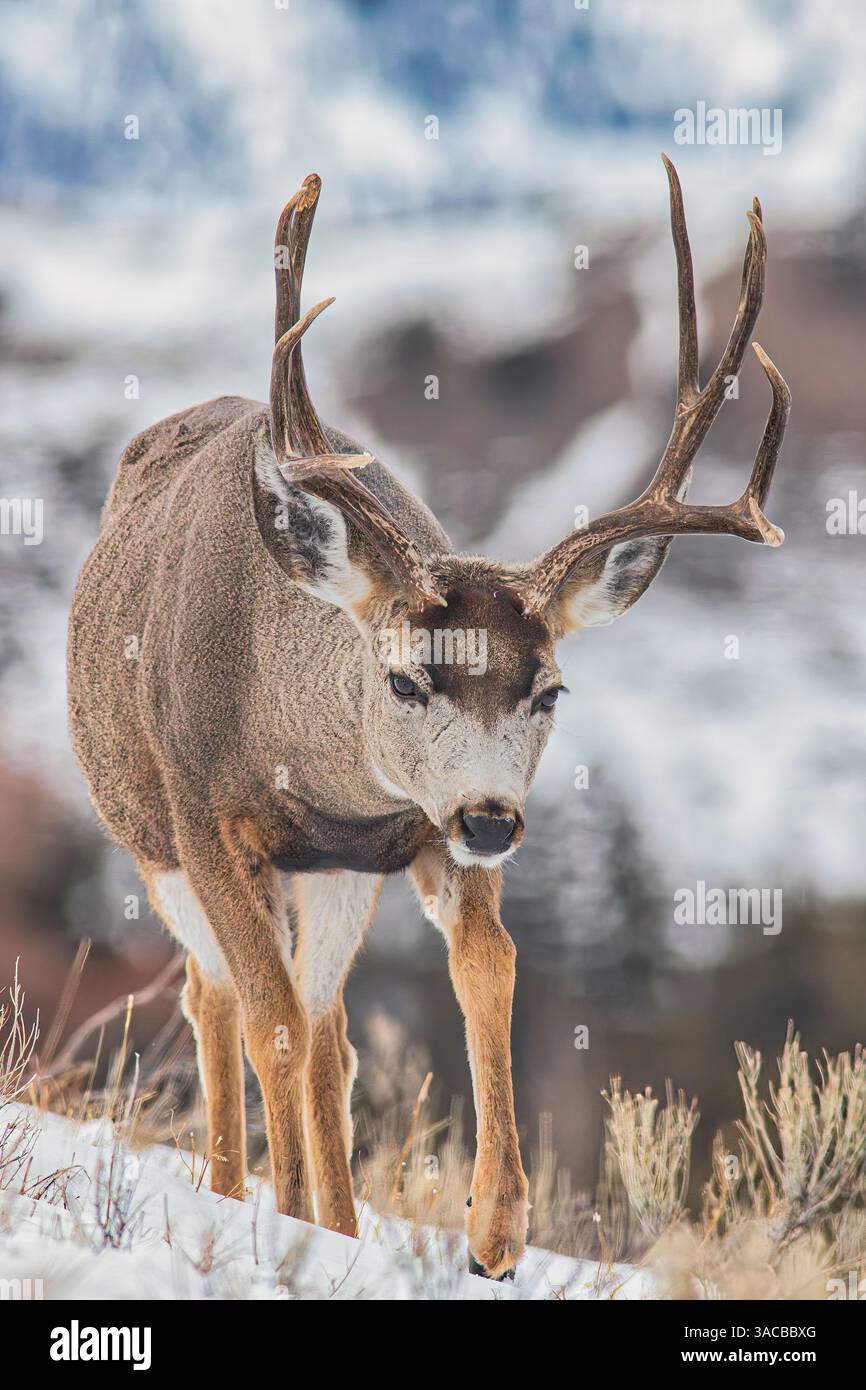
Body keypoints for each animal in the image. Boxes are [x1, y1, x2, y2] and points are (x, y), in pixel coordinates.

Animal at [67, 156, 790, 1280]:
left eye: (549, 690)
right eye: (407, 680)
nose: (494, 819)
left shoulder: (409, 828)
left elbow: (483, 969)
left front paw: (494, 1231)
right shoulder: (204, 818)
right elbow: (266, 1020)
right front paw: (278, 1222)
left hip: (334, 876)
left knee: (328, 1029)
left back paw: (337, 1220)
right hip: (154, 843)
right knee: (218, 996)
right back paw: (239, 1191)